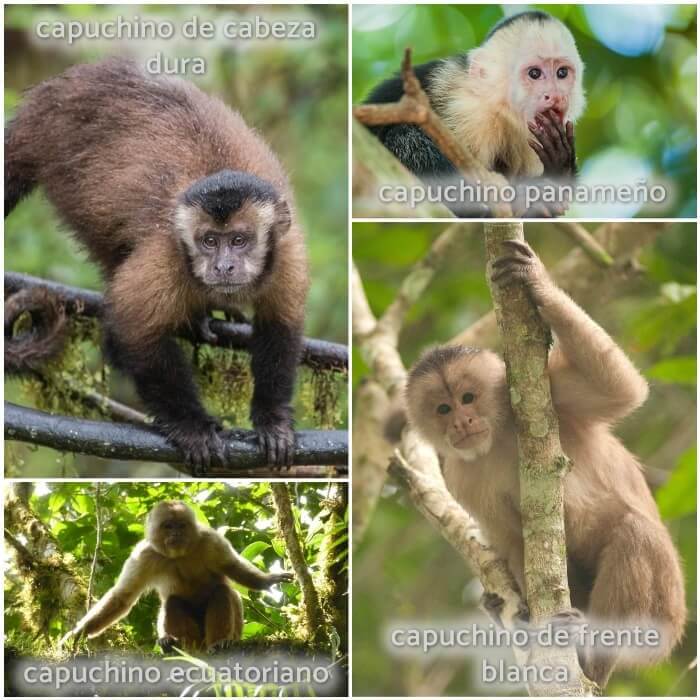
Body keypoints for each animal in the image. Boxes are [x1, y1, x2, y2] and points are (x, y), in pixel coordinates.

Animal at [4, 56, 308, 470]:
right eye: (208, 242)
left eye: (239, 241)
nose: (224, 267)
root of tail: (48, 97)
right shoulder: (165, 257)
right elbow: (136, 331)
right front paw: (191, 426)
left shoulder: (288, 255)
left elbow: (281, 324)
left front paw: (272, 417)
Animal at [57, 500, 292, 648]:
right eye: (168, 526)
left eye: (181, 525)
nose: (177, 533)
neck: (179, 555)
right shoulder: (143, 556)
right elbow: (122, 597)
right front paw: (78, 633)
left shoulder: (211, 541)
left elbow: (232, 567)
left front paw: (268, 580)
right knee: (173, 602)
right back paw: (173, 644)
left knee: (222, 592)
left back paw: (221, 642)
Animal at [366, 10, 584, 217]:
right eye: (534, 73)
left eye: (562, 73)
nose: (555, 95)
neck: (500, 111)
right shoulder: (467, 113)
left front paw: (557, 170)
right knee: (403, 136)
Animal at [404, 239, 684, 684]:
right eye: (443, 409)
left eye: (468, 398)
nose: (462, 422)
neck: (500, 435)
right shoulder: (462, 478)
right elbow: (511, 540)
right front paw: (521, 616)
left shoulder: (556, 393)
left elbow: (619, 390)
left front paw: (537, 281)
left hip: (666, 616)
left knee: (636, 533)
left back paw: (593, 654)